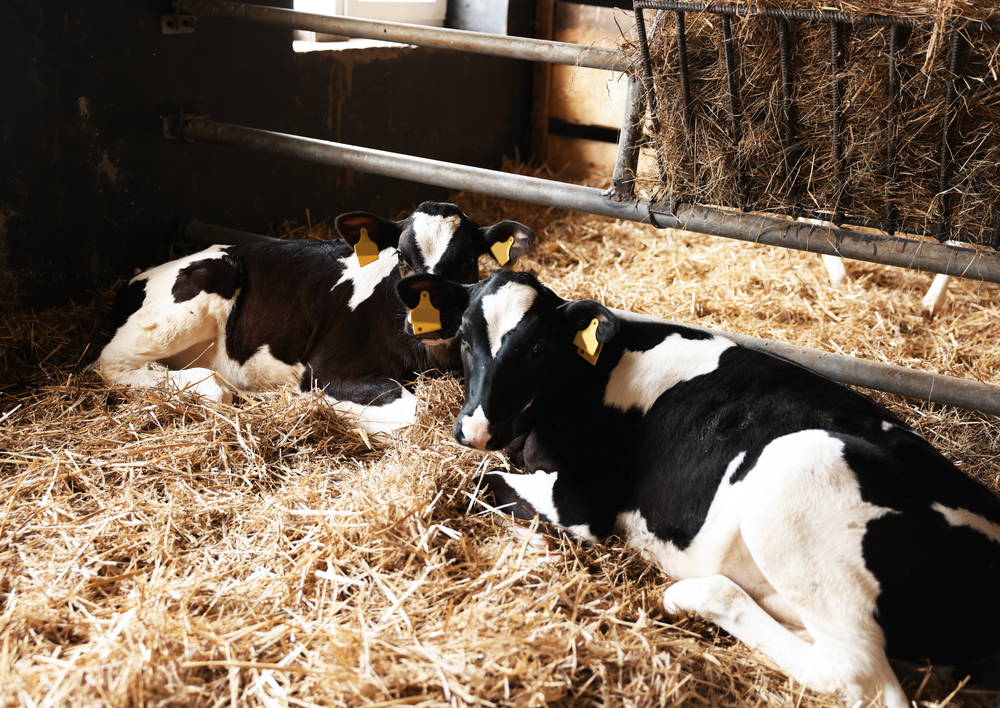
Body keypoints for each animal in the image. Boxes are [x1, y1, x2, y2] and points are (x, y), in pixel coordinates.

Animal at [96, 201, 534, 433]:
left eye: (465, 261)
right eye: (403, 259)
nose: (428, 322)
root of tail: (137, 277)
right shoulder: (325, 370)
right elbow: (415, 411)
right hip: (203, 288)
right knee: (113, 363)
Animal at [397, 268, 1000, 707]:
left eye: (539, 349)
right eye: (464, 338)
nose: (476, 428)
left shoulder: (582, 503)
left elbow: (477, 481)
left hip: (795, 464)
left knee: (861, 677)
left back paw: (694, 595)